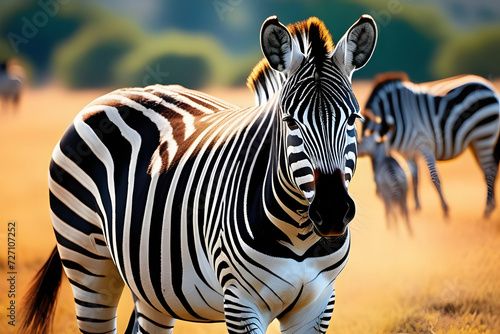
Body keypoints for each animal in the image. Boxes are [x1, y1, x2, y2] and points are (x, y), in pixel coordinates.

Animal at [21, 14, 376, 332]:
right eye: (290, 121)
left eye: (353, 119)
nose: (332, 212)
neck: (300, 235)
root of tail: (114, 93)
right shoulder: (241, 302)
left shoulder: (317, 306)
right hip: (86, 263)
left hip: (151, 288)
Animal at [360, 72, 500, 218]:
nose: (378, 192)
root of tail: (489, 86)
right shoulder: (408, 151)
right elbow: (414, 178)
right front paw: (416, 208)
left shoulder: (424, 145)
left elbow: (434, 177)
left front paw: (445, 208)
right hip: (476, 141)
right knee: (491, 169)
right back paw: (492, 206)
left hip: (484, 135)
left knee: (489, 170)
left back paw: (487, 210)